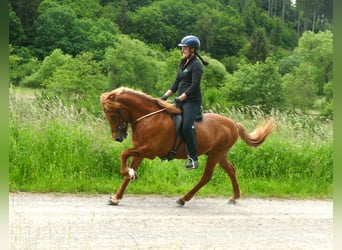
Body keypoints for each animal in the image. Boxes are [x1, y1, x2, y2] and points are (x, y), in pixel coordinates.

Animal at [99, 87, 276, 206]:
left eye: (111, 113)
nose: (117, 138)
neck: (148, 118)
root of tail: (233, 123)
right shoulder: (140, 151)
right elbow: (129, 169)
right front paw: (116, 197)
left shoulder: (149, 151)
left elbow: (124, 154)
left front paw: (127, 172)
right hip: (220, 154)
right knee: (231, 171)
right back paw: (234, 197)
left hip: (215, 154)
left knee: (206, 177)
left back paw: (183, 199)